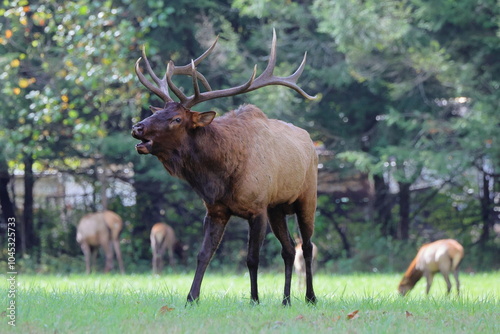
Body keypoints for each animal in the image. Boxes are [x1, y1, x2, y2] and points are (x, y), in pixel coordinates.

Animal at [131, 29, 318, 306]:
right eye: (157, 112)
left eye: (177, 119)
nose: (137, 127)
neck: (220, 176)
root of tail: (311, 142)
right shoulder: (216, 210)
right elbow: (203, 254)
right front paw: (191, 298)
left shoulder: (257, 208)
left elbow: (252, 258)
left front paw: (254, 299)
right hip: (277, 208)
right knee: (287, 249)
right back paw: (285, 300)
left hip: (307, 198)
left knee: (306, 246)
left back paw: (310, 297)